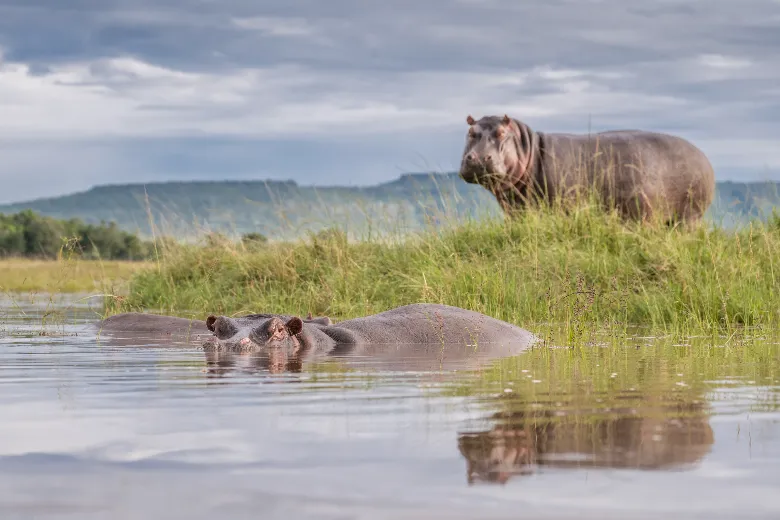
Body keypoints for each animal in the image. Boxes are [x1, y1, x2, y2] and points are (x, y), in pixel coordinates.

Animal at [459, 114, 716, 225]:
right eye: (470, 132)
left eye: (501, 133)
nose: (478, 158)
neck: (528, 147)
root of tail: (704, 157)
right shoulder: (516, 210)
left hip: (687, 216)